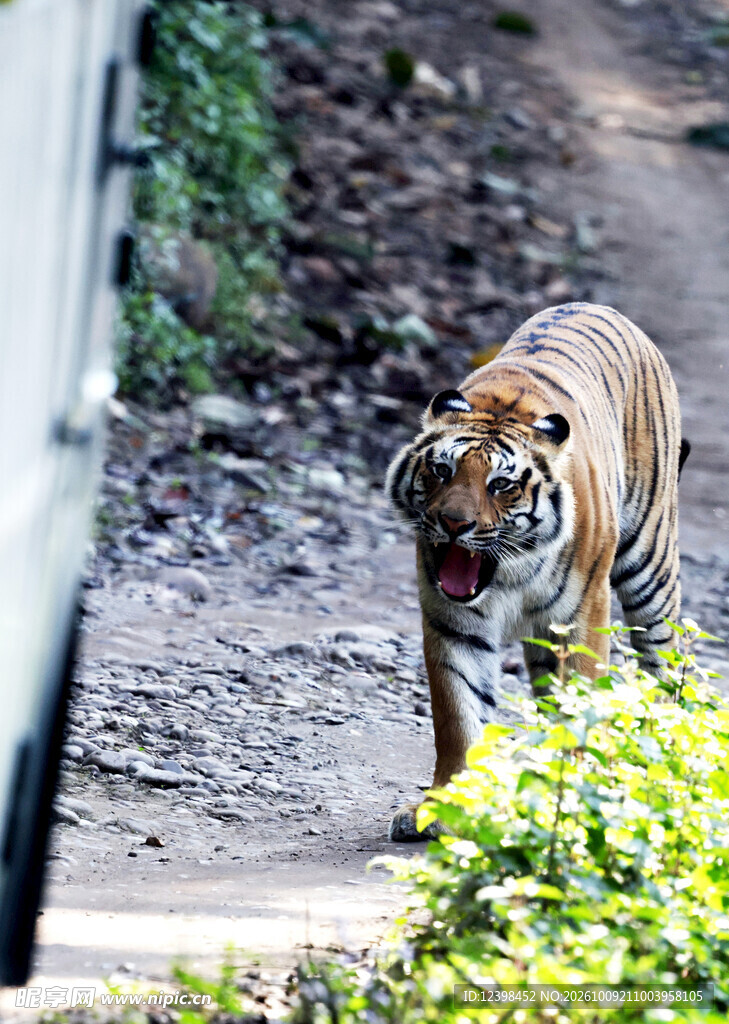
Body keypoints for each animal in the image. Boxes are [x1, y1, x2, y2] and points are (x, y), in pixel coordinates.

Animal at [386, 302, 689, 842]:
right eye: (442, 471)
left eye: (501, 485)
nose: (454, 523)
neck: (509, 571)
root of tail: (601, 307)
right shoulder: (452, 621)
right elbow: (457, 714)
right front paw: (445, 805)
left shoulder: (583, 615)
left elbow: (581, 704)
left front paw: (574, 802)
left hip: (650, 566)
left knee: (662, 665)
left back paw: (659, 766)